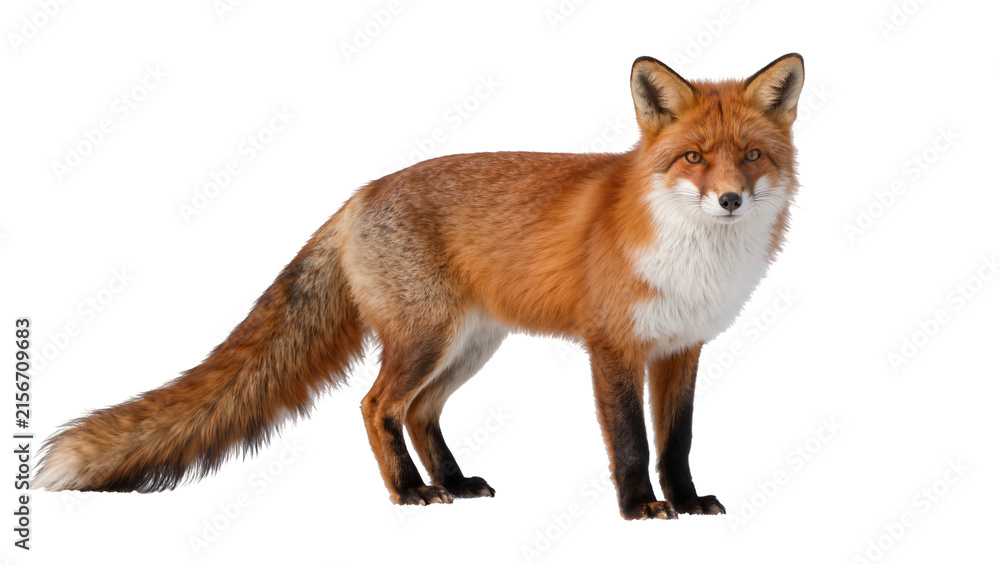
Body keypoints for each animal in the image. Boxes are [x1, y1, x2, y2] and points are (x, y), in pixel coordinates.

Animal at [35, 53, 804, 520]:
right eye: (694, 157)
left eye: (751, 155)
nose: (730, 199)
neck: (693, 255)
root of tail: (359, 194)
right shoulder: (613, 347)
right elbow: (632, 442)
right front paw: (640, 508)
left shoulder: (681, 347)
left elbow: (678, 441)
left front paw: (687, 501)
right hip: (426, 340)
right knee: (377, 406)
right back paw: (408, 489)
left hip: (466, 347)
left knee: (420, 412)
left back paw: (452, 482)